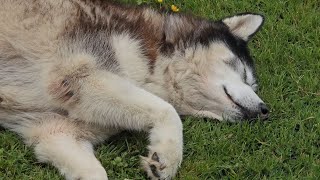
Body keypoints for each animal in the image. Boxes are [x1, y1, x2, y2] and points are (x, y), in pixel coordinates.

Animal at [0, 0, 268, 179]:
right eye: (245, 74)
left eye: (252, 83)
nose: (266, 110)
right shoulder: (79, 75)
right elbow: (168, 111)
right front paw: (169, 155)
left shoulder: (54, 131)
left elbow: (92, 170)